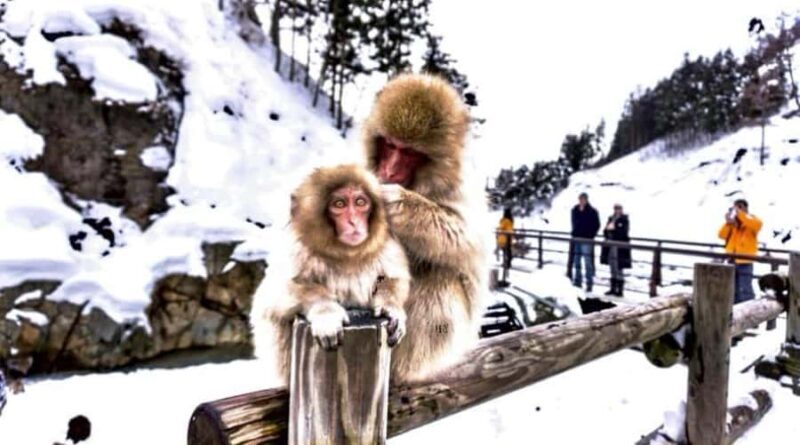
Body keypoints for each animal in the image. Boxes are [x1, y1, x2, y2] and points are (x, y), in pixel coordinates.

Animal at [263, 164, 410, 383]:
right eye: (339, 204)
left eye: (360, 202)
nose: (353, 222)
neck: (346, 254)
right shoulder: (297, 251)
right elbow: (280, 294)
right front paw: (326, 313)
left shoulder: (386, 247)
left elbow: (395, 278)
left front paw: (390, 307)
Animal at [361, 73, 488, 381]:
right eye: (390, 145)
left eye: (409, 153)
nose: (389, 171)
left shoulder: (460, 189)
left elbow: (466, 240)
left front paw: (397, 203)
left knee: (441, 276)